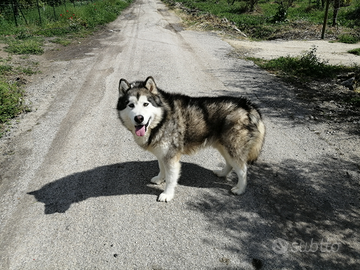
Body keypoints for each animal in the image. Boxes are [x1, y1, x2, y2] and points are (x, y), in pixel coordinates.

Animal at [117, 77, 264, 201]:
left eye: (146, 104)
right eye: (131, 105)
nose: (139, 118)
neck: (162, 119)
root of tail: (248, 105)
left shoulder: (171, 157)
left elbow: (171, 178)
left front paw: (167, 194)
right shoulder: (162, 152)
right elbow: (161, 167)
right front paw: (160, 178)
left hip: (232, 147)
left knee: (243, 169)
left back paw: (240, 189)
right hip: (223, 146)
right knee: (230, 163)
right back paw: (222, 173)